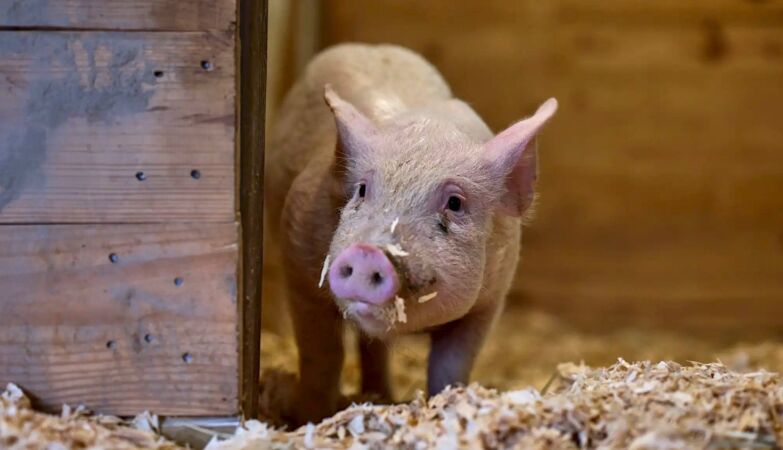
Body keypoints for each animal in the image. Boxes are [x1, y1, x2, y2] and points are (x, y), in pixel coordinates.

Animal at [265, 43, 557, 424]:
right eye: (362, 190)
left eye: (455, 203)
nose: (368, 252)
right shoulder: (299, 266)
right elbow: (322, 357)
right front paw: (309, 419)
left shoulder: (489, 302)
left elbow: (451, 367)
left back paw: (381, 396)